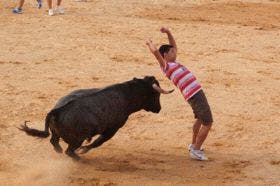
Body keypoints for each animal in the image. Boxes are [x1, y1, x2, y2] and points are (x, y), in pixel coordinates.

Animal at [19, 75, 173, 160]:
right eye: (156, 95)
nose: (159, 109)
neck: (128, 93)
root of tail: (56, 110)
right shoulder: (113, 129)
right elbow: (99, 142)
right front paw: (85, 149)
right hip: (77, 139)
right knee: (69, 150)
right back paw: (79, 158)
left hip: (58, 133)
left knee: (54, 141)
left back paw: (59, 151)